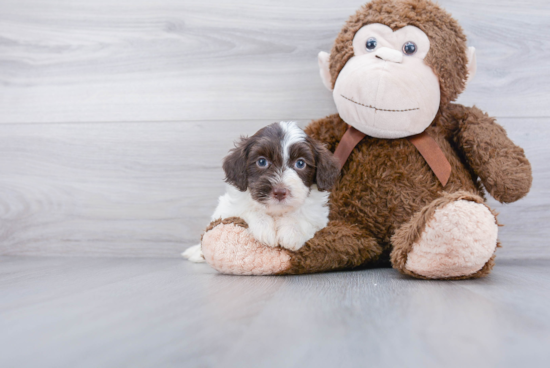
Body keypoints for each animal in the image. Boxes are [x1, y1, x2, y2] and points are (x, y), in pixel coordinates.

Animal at [184, 122, 340, 264]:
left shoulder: (318, 218)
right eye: (262, 162)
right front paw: (264, 228)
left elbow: (302, 215)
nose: (280, 192)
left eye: (300, 163)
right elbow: (248, 209)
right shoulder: (228, 209)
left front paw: (291, 232)